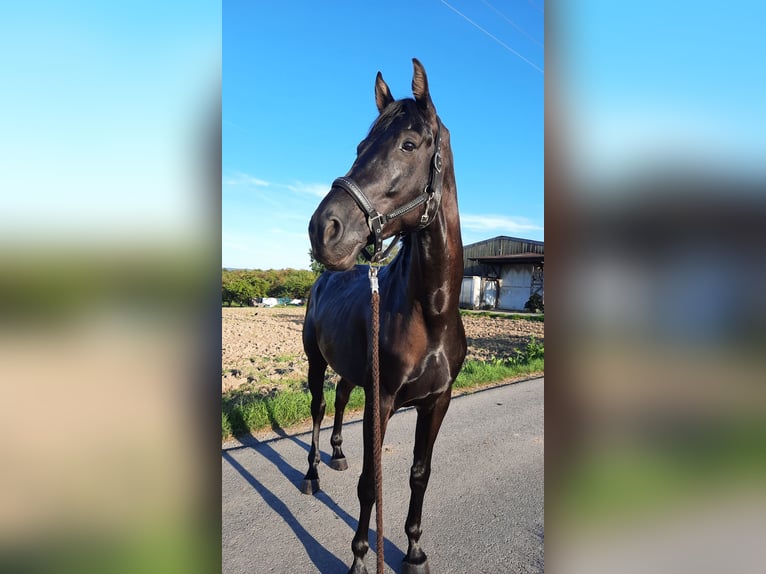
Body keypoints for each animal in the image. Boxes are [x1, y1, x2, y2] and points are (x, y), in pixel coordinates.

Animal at [306, 59, 468, 574]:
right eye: (360, 147)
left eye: (409, 145)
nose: (324, 229)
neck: (430, 314)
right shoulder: (381, 400)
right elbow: (369, 483)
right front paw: (360, 558)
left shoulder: (437, 402)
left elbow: (419, 473)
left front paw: (414, 550)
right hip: (316, 362)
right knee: (319, 408)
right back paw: (312, 475)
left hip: (350, 370)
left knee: (339, 401)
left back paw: (336, 454)